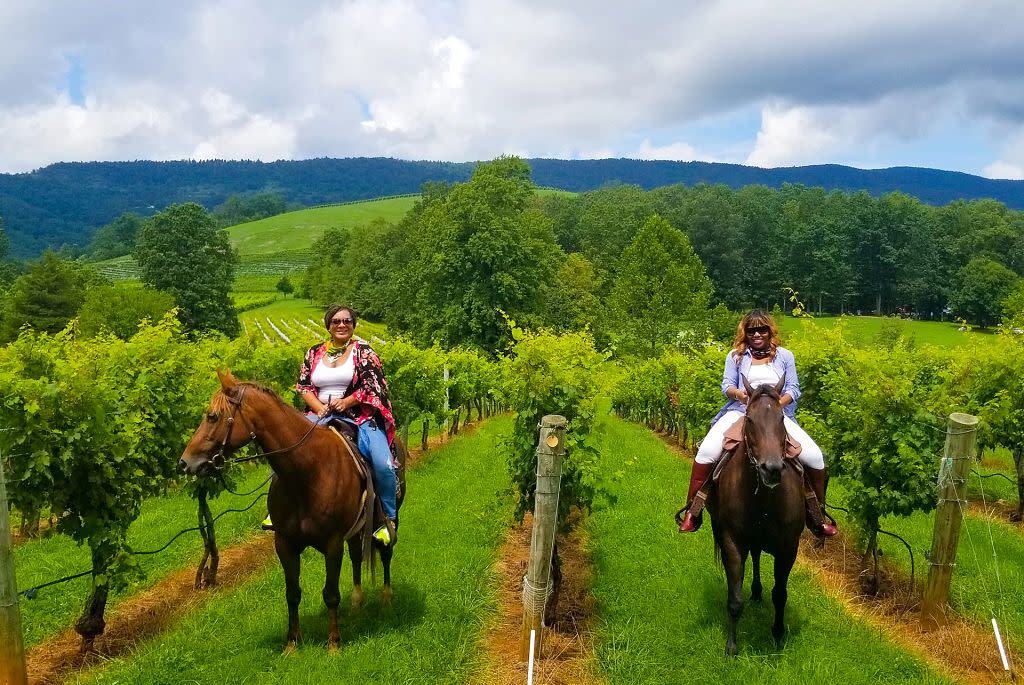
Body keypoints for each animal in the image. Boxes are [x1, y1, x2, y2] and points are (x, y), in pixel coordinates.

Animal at [178, 370, 405, 651]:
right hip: (355, 528)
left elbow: (331, 594)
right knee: (356, 556)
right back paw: (356, 601)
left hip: (385, 518)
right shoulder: (284, 544)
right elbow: (292, 594)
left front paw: (333, 642)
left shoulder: (332, 544)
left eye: (213, 416)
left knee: (385, 552)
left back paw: (386, 598)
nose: (185, 463)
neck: (308, 472)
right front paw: (292, 643)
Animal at [708, 376, 802, 655]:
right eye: (749, 419)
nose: (772, 469)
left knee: (758, 555)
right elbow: (734, 598)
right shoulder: (731, 540)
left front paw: (778, 635)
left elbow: (780, 593)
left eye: (782, 419)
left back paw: (758, 592)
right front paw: (731, 646)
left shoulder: (789, 546)